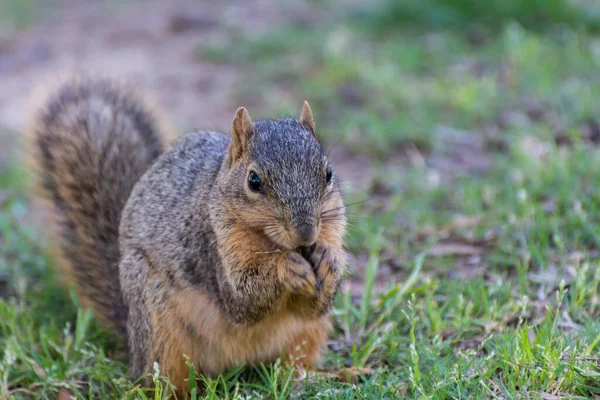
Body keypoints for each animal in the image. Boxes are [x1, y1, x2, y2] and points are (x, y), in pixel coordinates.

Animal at [25, 74, 346, 390]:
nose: (305, 233)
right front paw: (287, 268)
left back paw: (320, 375)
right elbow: (241, 299)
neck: (275, 243)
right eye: (253, 181)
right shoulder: (211, 245)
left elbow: (314, 306)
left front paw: (329, 261)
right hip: (157, 322)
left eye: (328, 173)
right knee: (159, 375)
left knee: (295, 361)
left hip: (308, 334)